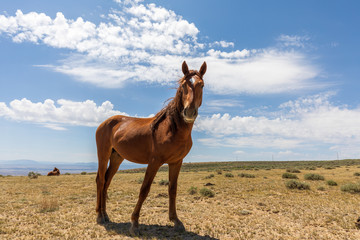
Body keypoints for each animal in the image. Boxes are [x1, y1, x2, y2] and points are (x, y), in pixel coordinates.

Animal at [95, 60, 207, 234]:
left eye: (201, 85)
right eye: (183, 85)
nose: (189, 112)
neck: (172, 129)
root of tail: (105, 123)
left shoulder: (176, 162)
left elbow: (172, 189)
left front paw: (176, 220)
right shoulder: (154, 162)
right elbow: (144, 189)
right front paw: (134, 223)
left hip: (116, 157)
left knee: (106, 181)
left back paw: (105, 214)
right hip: (104, 154)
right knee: (100, 181)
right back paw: (100, 216)